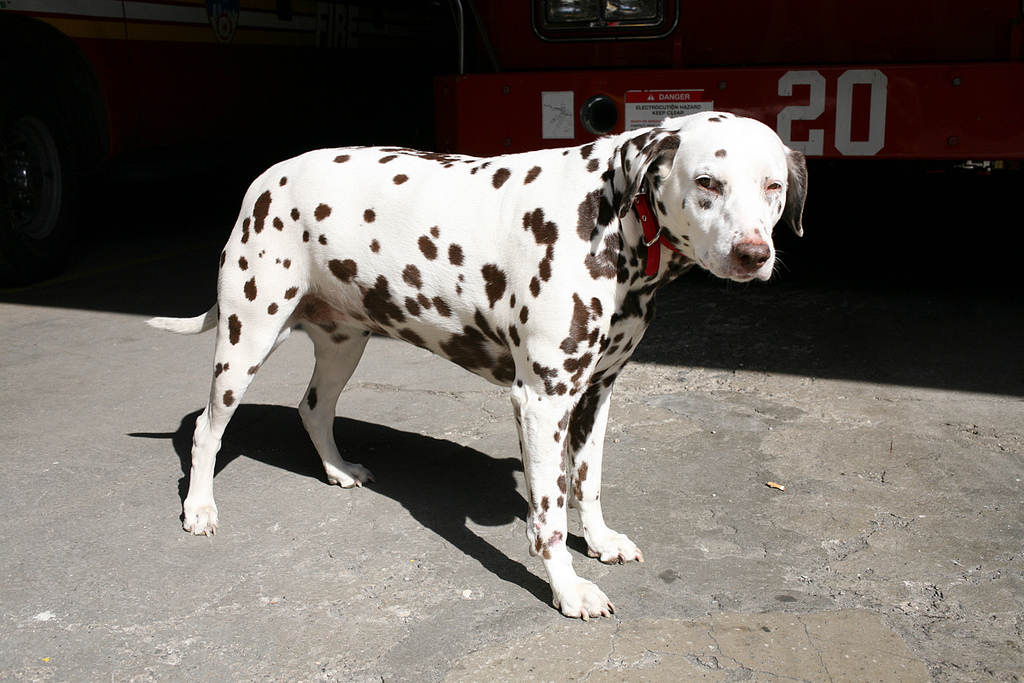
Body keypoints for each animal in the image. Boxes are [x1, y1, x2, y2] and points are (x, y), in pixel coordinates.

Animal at [149, 111, 806, 618]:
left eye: (773, 186)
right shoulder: (542, 401)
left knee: (313, 409)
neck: (609, 215)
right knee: (207, 430)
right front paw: (569, 589)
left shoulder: (595, 395)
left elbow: (587, 483)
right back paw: (199, 508)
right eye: (707, 181)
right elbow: (548, 515)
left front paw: (599, 541)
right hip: (246, 340)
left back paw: (336, 469)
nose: (754, 254)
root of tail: (264, 179)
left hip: (344, 344)